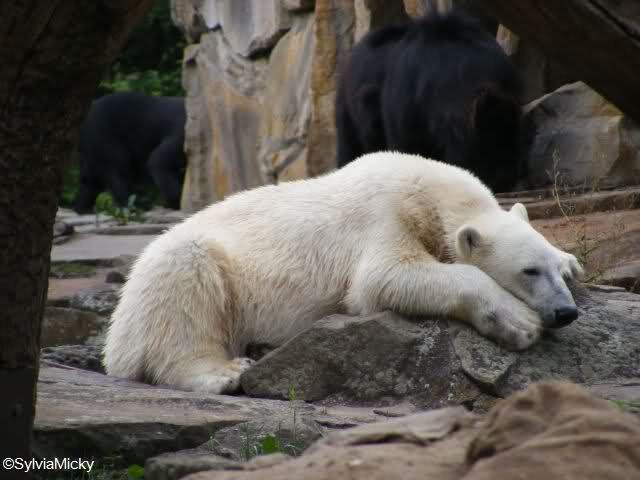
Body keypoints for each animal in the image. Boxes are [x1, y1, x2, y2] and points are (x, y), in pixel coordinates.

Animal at [103, 152, 582, 394]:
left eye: (550, 268)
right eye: (528, 271)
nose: (566, 313)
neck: (428, 188)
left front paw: (573, 260)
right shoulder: (384, 215)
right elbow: (385, 278)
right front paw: (519, 323)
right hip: (177, 271)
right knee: (184, 288)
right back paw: (225, 372)